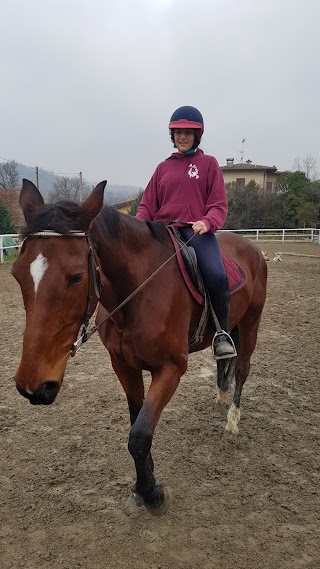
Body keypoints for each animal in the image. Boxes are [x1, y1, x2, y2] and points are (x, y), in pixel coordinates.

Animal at [12, 180, 266, 512]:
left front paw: (150, 492)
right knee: (226, 359)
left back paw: (233, 419)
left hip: (251, 322)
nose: (33, 386)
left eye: (76, 277)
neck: (138, 294)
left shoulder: (171, 369)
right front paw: (146, 475)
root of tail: (251, 247)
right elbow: (136, 421)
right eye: (16, 274)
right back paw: (221, 395)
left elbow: (140, 435)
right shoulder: (123, 365)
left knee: (243, 369)